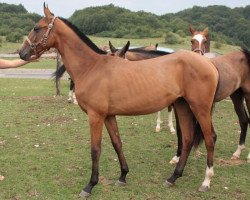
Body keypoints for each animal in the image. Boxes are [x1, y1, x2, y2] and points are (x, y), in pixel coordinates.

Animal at [19, 3, 219, 196]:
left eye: (36, 28)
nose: (22, 53)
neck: (92, 67)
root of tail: (209, 64)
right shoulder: (108, 116)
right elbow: (117, 143)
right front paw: (123, 176)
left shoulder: (95, 116)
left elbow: (95, 149)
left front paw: (90, 185)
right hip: (183, 106)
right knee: (187, 139)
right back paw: (173, 177)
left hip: (200, 108)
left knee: (209, 138)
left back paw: (206, 182)